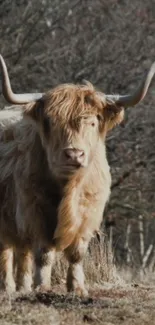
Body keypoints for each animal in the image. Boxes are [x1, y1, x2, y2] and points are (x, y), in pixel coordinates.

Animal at [0, 55, 154, 294]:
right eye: (52, 123)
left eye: (92, 122)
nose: (74, 154)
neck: (68, 186)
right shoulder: (34, 210)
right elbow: (44, 254)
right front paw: (42, 287)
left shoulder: (88, 211)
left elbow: (76, 253)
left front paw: (77, 288)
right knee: (7, 250)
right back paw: (8, 287)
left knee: (22, 252)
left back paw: (23, 287)